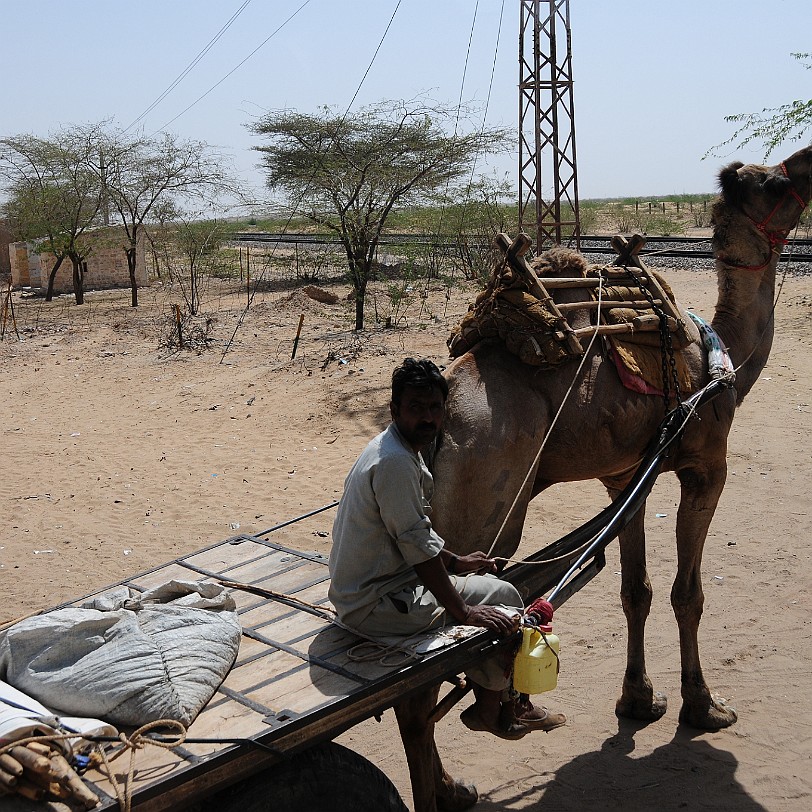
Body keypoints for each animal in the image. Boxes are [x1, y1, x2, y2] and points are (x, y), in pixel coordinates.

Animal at [392, 147, 804, 812]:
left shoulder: (624, 477)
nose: (808, 164)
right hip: (483, 504)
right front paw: (704, 707)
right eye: (773, 182)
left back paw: (459, 780)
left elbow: (635, 591)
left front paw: (638, 700)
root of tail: (435, 417)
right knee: (428, 670)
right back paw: (479, 746)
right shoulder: (706, 466)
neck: (726, 358)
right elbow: (688, 593)